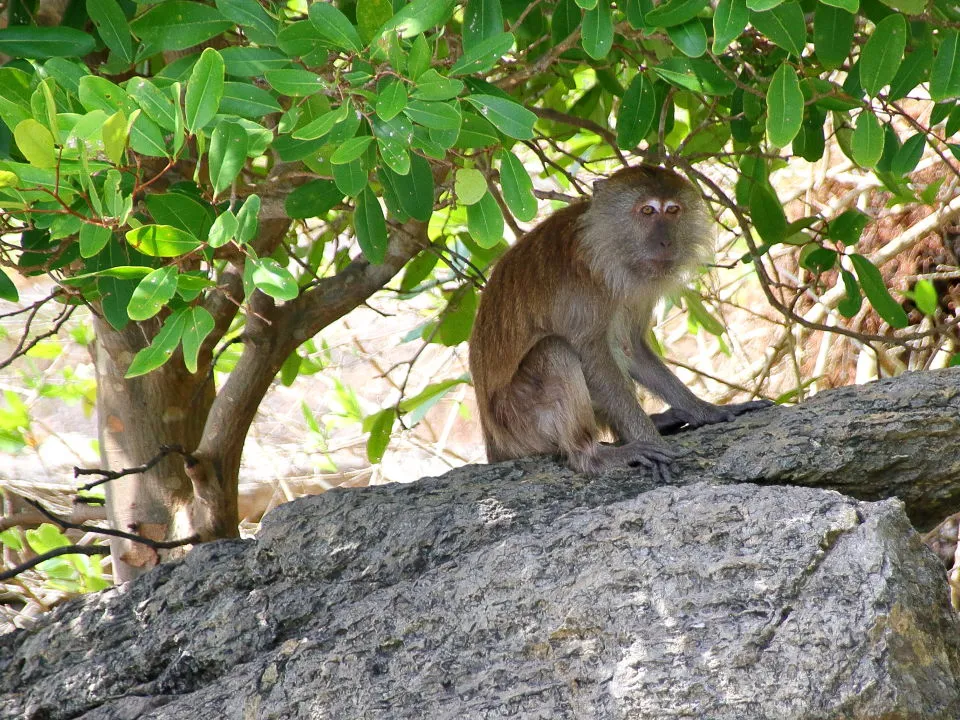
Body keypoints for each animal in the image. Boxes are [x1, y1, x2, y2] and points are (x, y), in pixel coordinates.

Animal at [468, 165, 768, 478]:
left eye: (673, 210)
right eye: (648, 211)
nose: (665, 241)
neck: (607, 246)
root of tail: (495, 446)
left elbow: (631, 347)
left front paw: (705, 410)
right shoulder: (583, 286)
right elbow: (592, 356)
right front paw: (649, 439)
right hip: (520, 424)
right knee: (554, 350)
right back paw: (593, 455)